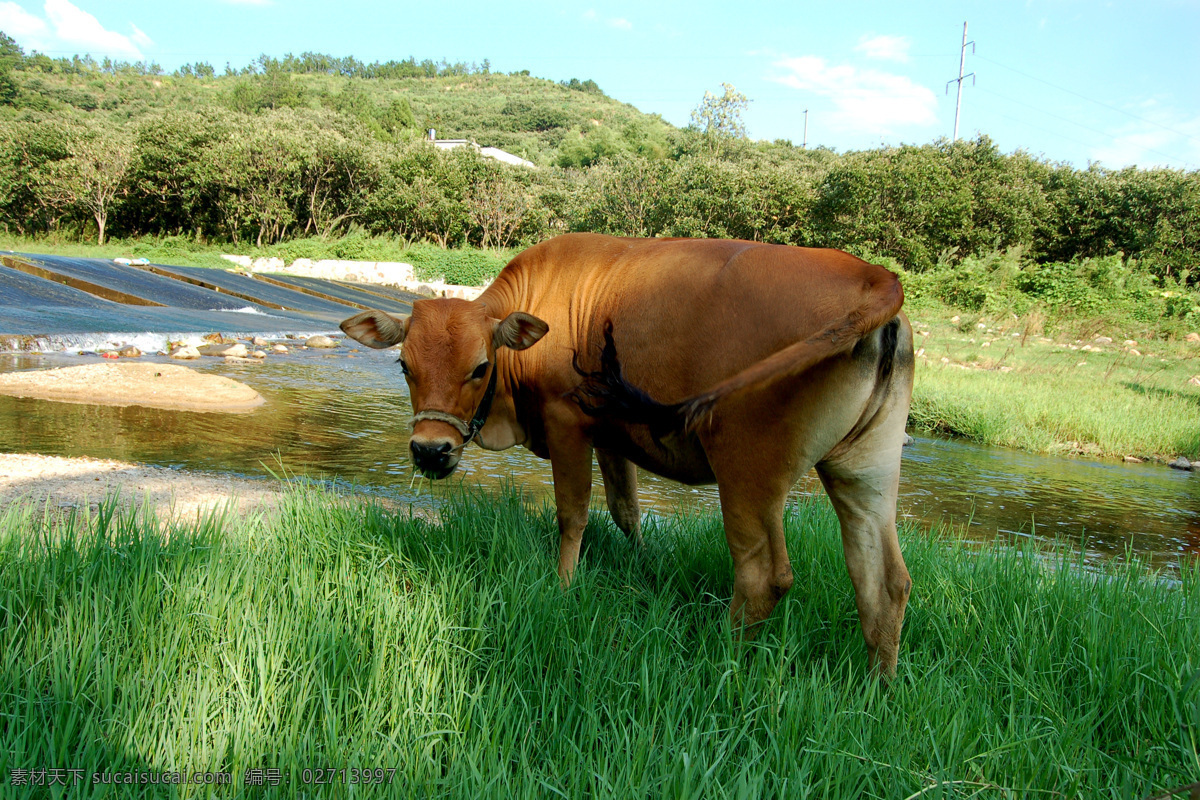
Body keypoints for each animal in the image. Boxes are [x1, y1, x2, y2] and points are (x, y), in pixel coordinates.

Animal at [343, 235, 912, 681]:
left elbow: (573, 513)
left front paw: (563, 586)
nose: (429, 450)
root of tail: (873, 275)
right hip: (865, 471)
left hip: (747, 471)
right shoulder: (611, 437)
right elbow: (626, 511)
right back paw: (875, 689)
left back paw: (719, 661)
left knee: (763, 578)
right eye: (403, 365)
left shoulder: (567, 424)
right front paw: (642, 569)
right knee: (884, 581)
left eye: (480, 368)